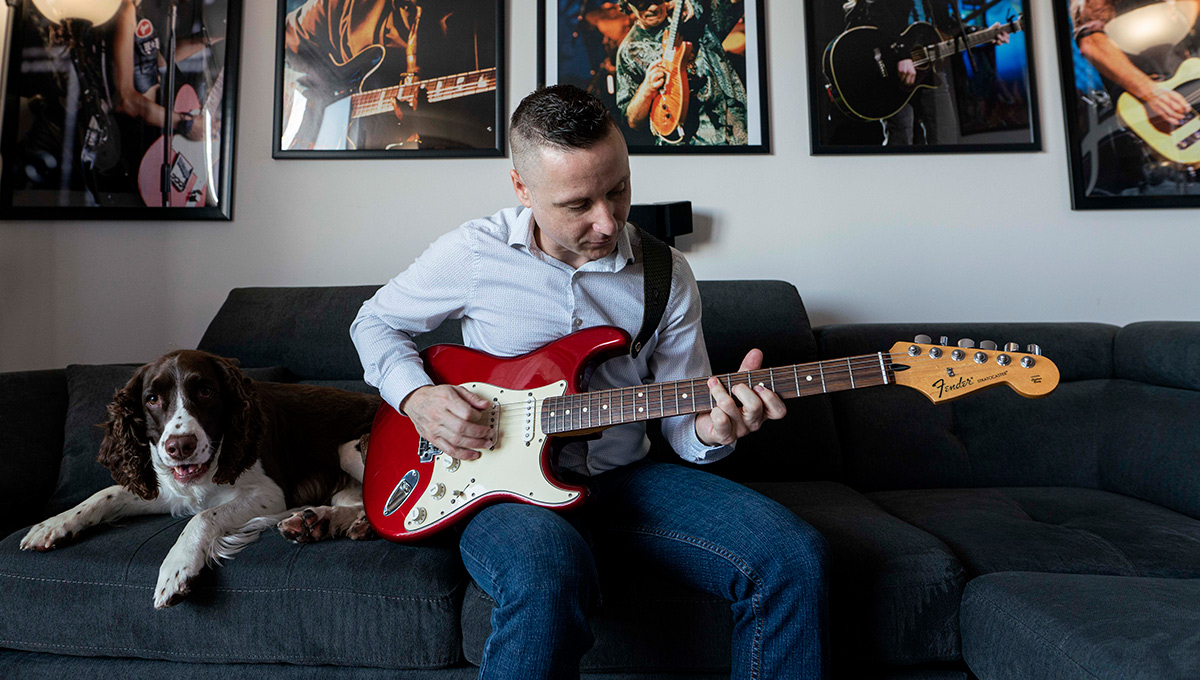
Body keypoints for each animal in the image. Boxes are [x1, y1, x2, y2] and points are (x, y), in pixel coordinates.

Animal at [21, 350, 381, 606]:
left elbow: (205, 516)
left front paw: (177, 568)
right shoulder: (168, 490)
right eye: (152, 398)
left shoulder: (270, 494)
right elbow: (106, 494)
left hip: (349, 451)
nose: (180, 446)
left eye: (206, 391)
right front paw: (53, 524)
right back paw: (317, 522)